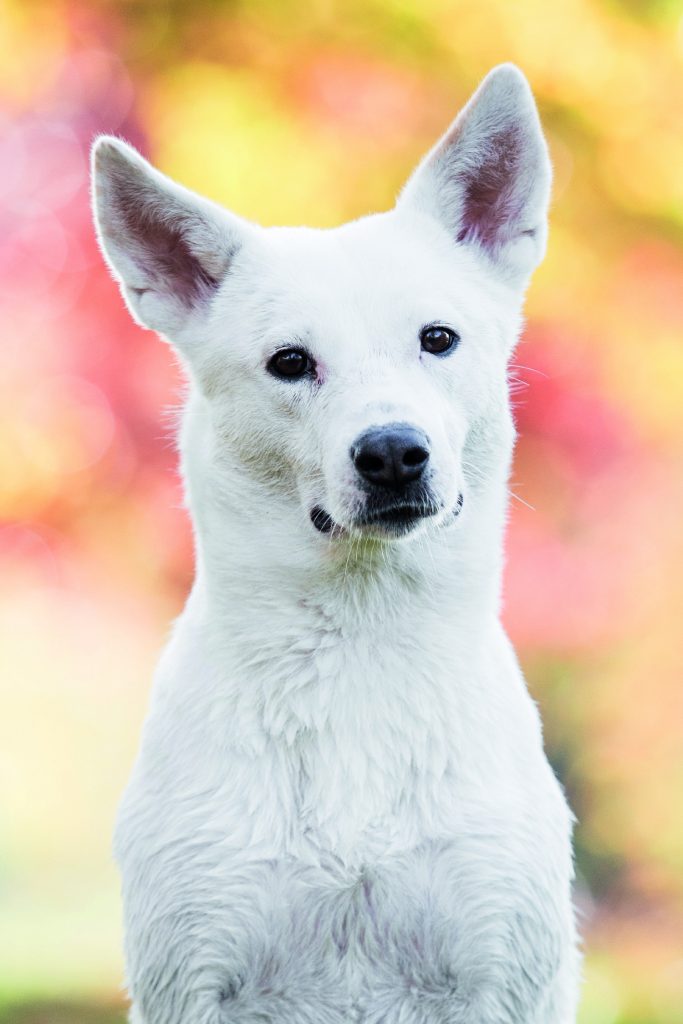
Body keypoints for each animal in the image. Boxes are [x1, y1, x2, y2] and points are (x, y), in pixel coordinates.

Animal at [92, 64, 577, 1024]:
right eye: (290, 362)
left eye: (437, 339)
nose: (391, 453)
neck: (359, 642)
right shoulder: (191, 970)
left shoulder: (501, 969)